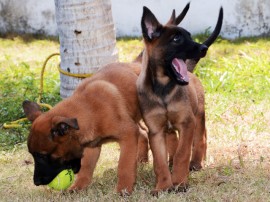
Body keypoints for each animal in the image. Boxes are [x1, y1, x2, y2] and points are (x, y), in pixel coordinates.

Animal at [22, 62, 143, 195]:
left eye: (42, 156)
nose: (36, 182)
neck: (89, 110)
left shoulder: (128, 135)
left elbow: (124, 164)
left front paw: (124, 188)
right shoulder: (92, 146)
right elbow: (86, 167)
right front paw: (78, 186)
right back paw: (142, 159)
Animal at [136, 5, 223, 194]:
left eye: (189, 36)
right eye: (176, 38)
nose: (204, 48)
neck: (163, 89)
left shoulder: (187, 123)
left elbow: (183, 154)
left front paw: (180, 183)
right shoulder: (156, 131)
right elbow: (159, 162)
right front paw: (163, 186)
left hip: (199, 116)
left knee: (201, 138)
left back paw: (197, 162)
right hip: (170, 129)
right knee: (173, 144)